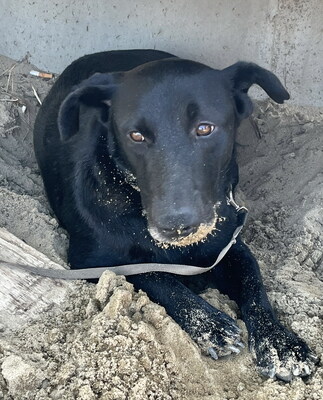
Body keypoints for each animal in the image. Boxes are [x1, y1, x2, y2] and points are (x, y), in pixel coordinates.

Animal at [33, 50, 318, 382]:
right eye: (136, 135)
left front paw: (281, 344)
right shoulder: (92, 261)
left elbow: (255, 285)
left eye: (205, 128)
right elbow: (154, 276)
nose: (177, 225)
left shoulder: (230, 246)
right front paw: (210, 325)